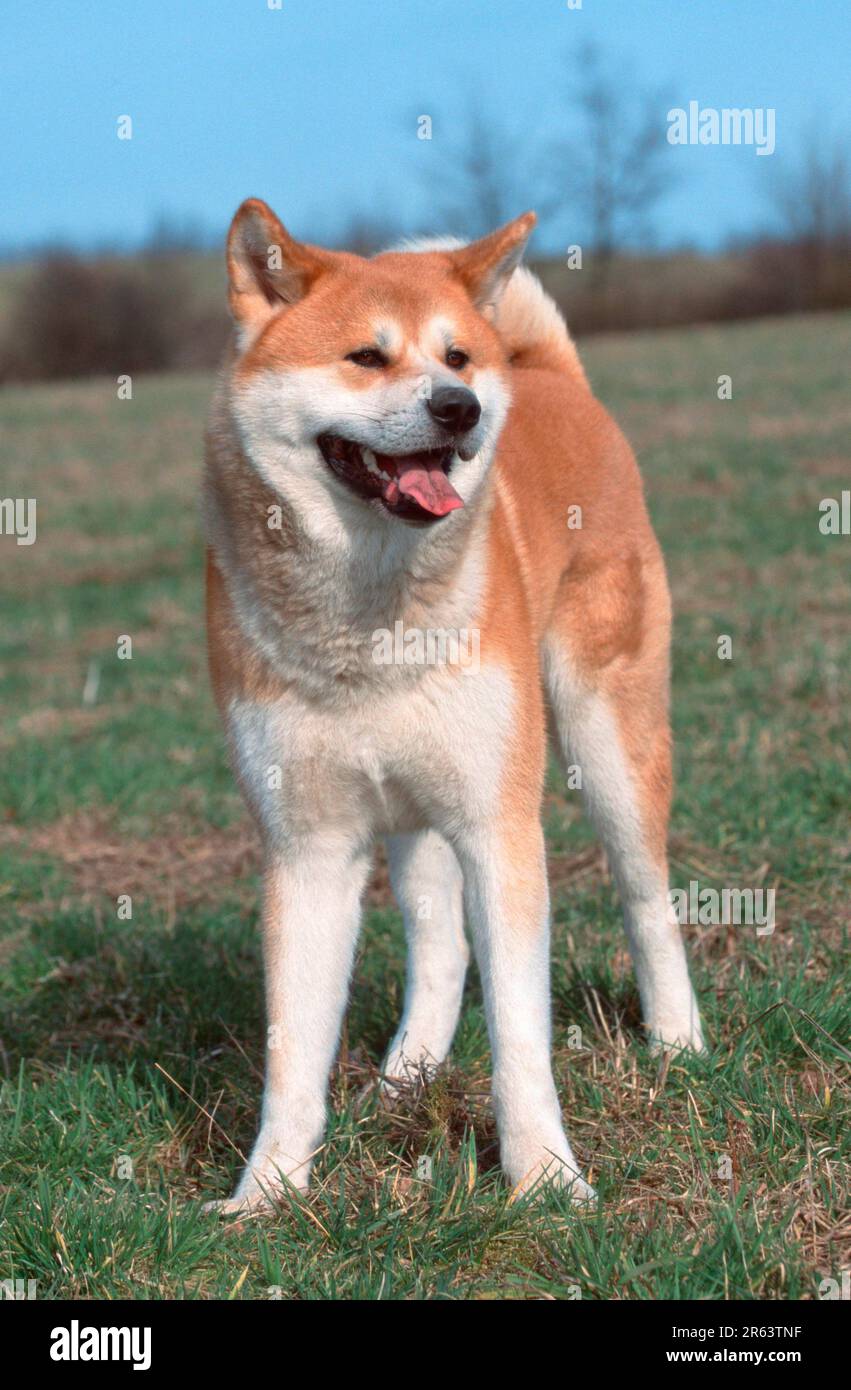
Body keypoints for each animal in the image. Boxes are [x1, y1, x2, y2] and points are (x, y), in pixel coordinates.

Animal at [204, 201, 703, 1212]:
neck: (369, 621)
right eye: (366, 356)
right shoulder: (307, 848)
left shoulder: (498, 824)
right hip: (412, 808)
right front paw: (267, 1193)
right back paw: (409, 1074)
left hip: (606, 741)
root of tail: (552, 377)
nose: (457, 408)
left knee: (646, 896)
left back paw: (676, 1041)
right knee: (439, 945)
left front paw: (543, 1182)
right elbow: (292, 1052)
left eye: (456, 357)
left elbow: (519, 1037)